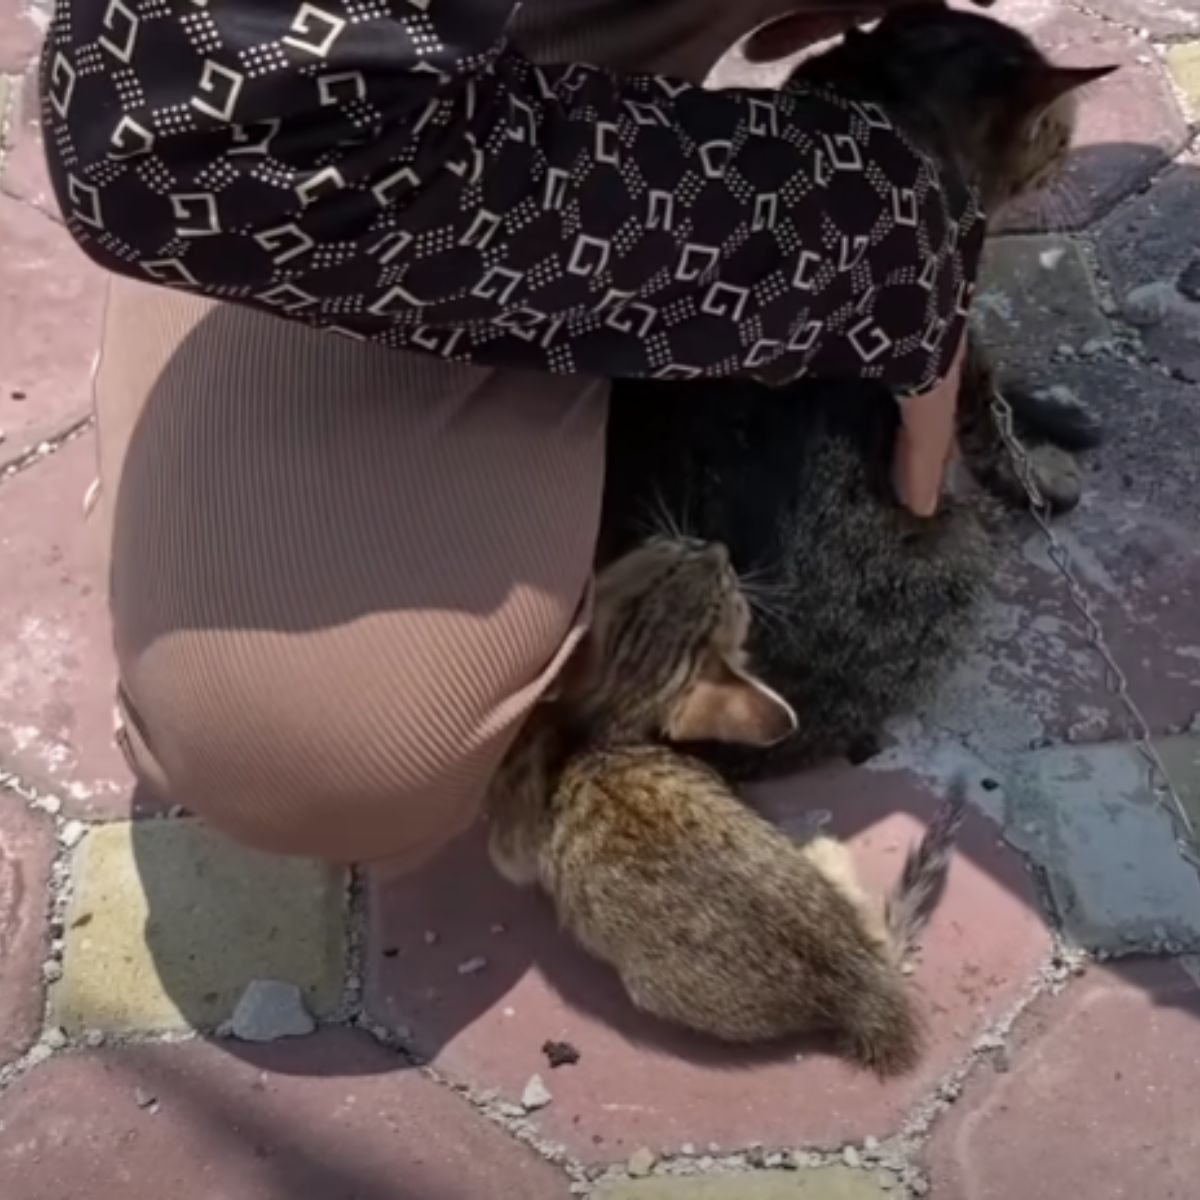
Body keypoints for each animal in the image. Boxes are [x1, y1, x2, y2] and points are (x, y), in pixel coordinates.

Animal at [604, 9, 1108, 772]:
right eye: (1060, 134)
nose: (1067, 162)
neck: (890, 96)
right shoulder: (951, 349)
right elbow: (991, 424)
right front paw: (1042, 474)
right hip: (958, 545)